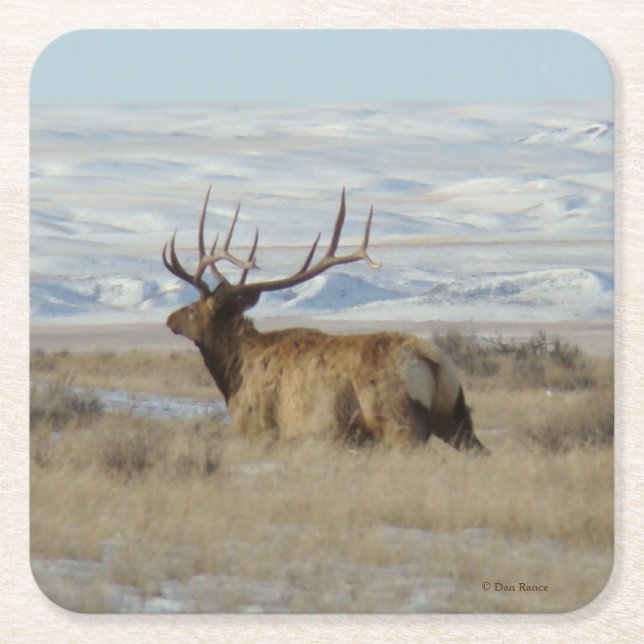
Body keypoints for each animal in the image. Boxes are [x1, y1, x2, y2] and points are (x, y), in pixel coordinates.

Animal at [162, 188, 489, 454]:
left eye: (192, 309)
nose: (169, 319)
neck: (233, 375)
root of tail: (432, 360)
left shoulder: (260, 429)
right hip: (455, 415)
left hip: (400, 421)